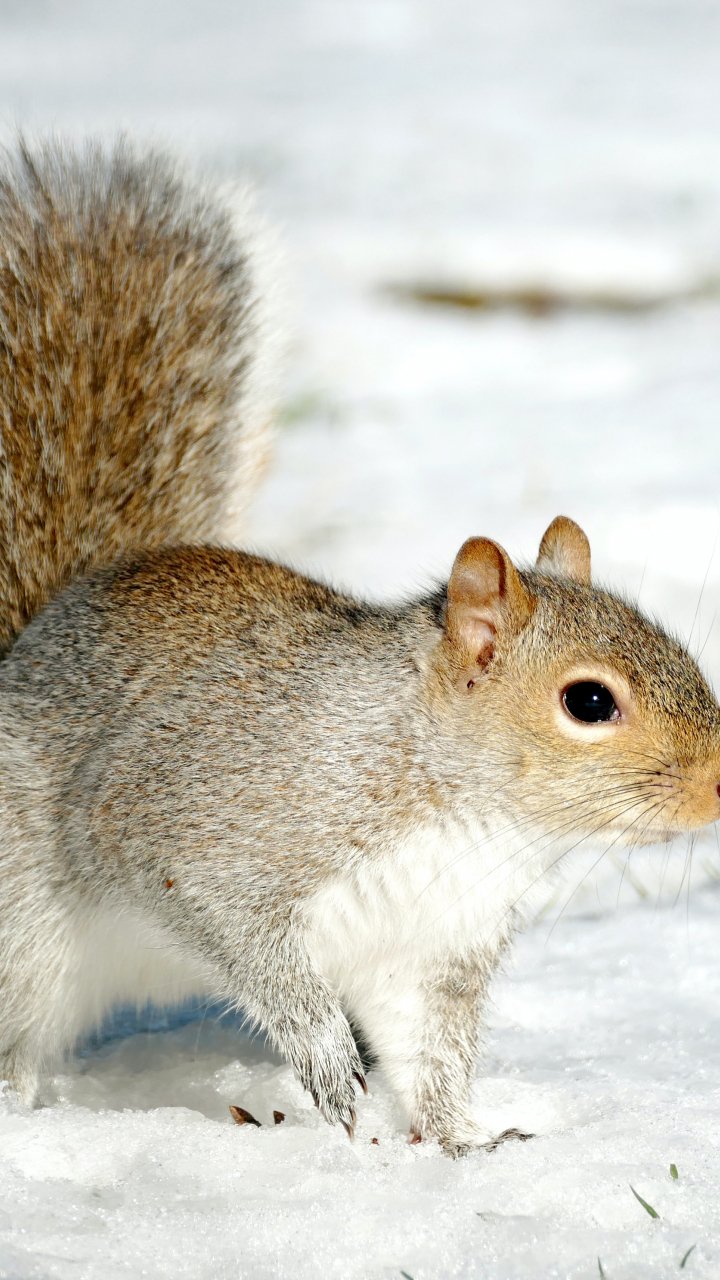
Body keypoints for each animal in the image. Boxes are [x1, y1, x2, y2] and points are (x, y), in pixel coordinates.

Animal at [1, 140, 720, 1159]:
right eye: (589, 701)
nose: (719, 789)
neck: (460, 811)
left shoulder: (428, 948)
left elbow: (432, 1055)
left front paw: (463, 1143)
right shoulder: (203, 833)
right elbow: (246, 941)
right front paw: (326, 1062)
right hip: (22, 938)